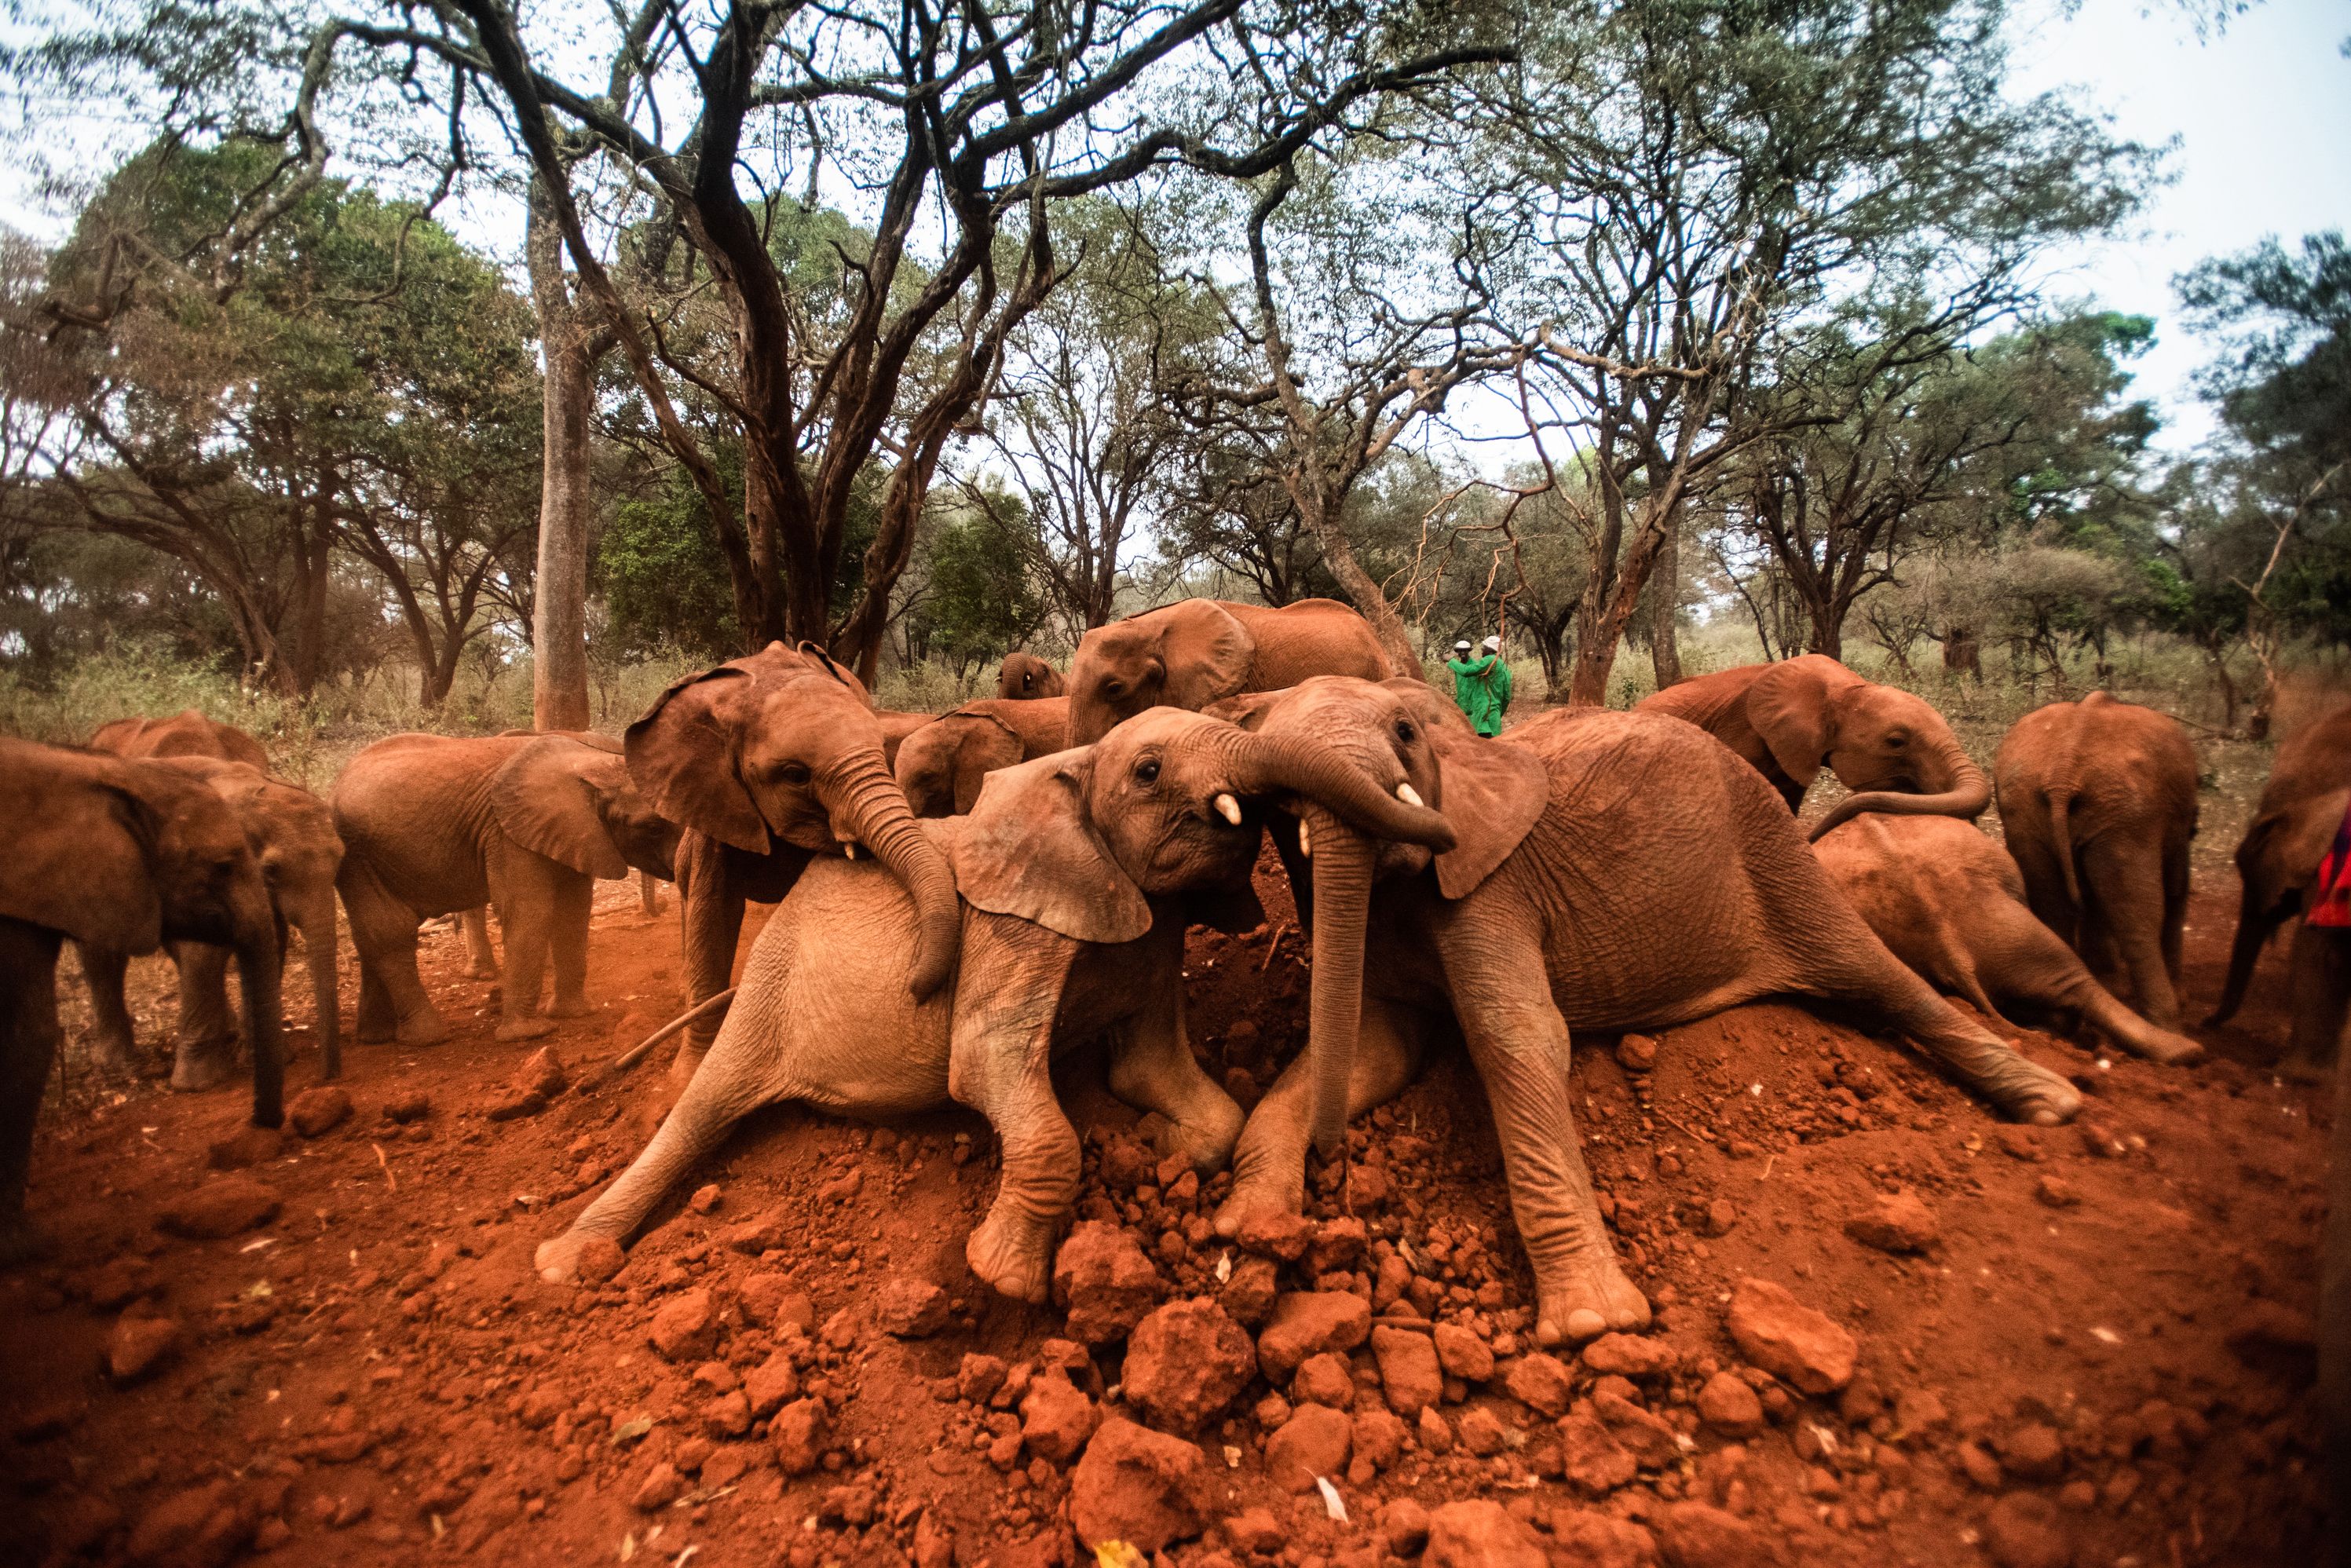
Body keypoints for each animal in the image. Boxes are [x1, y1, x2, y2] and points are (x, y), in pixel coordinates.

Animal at [81, 757, 345, 1084]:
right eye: (271, 869)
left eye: (341, 858)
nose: (328, 1078)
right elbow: (203, 952)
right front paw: (197, 1084)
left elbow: (269, 940)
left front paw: (270, 1060)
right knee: (102, 955)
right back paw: (117, 1063)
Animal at [334, 731, 680, 1045]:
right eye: (653, 827)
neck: (592, 764)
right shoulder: (508, 834)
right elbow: (529, 912)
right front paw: (531, 1034)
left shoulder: (574, 833)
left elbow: (573, 911)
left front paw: (575, 1015)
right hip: (359, 854)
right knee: (390, 931)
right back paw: (428, 1039)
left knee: (371, 935)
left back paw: (376, 1037)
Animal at [628, 644, 961, 1076]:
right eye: (795, 775)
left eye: (881, 748)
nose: (914, 987)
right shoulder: (711, 801)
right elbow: (713, 917)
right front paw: (688, 1073)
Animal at [1210, 677, 2081, 1348]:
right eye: (1262, 745)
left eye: (1402, 731)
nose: (1336, 1166)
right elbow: (1374, 1047)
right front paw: (1252, 1224)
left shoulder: (1491, 883)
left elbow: (1515, 1036)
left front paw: (1594, 1326)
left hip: (1773, 850)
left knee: (1877, 976)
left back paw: (2053, 1104)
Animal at [1993, 692, 2199, 1027]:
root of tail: (2063, 775)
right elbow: (2175, 887)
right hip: (2127, 815)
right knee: (2139, 917)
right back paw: (2167, 1024)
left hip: (2026, 805)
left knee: (2055, 906)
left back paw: (2057, 1019)